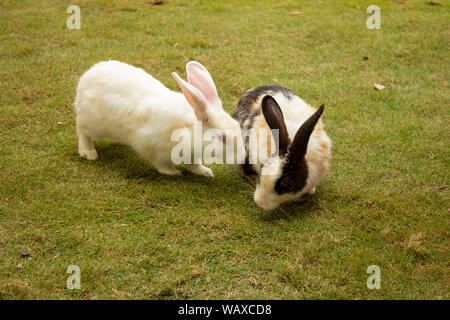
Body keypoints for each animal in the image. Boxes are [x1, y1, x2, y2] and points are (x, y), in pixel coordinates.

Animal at [75, 60, 244, 178]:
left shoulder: (191, 155)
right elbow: (161, 164)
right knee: (82, 130)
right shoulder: (151, 145)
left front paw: (206, 172)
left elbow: (193, 165)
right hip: (93, 124)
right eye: (222, 138)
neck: (188, 128)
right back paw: (88, 152)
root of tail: (88, 75)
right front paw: (173, 172)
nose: (243, 158)